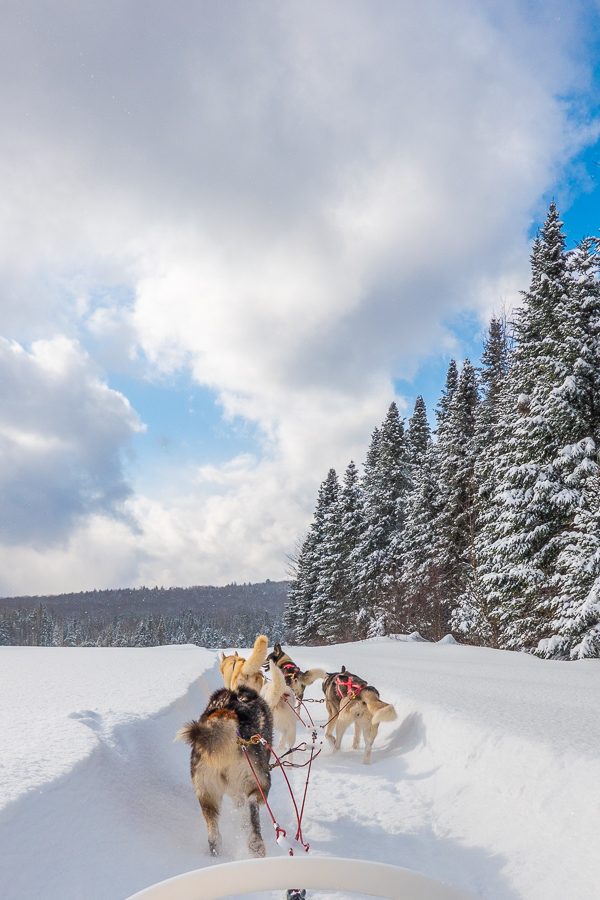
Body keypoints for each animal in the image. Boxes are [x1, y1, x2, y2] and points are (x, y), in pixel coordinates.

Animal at [177, 684, 274, 856]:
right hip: (259, 781)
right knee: (252, 806)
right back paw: (256, 843)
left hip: (206, 791)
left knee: (213, 831)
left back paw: (216, 849)